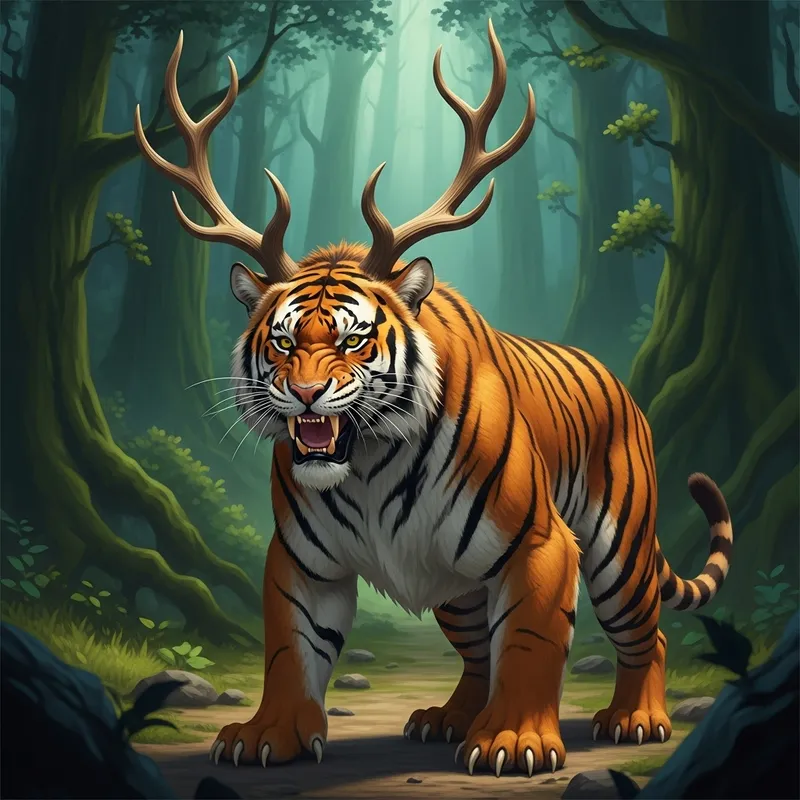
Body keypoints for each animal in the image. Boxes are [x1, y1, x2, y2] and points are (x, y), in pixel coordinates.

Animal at [135, 22, 733, 777]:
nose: (305, 392)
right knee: (477, 652)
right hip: (453, 584)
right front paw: (267, 733)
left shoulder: (540, 544)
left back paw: (636, 719)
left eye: (353, 339)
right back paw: (449, 718)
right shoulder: (300, 561)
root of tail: (622, 384)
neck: (365, 466)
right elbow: (289, 648)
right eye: (281, 340)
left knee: (646, 635)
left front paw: (514, 741)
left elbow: (532, 644)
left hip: (619, 552)